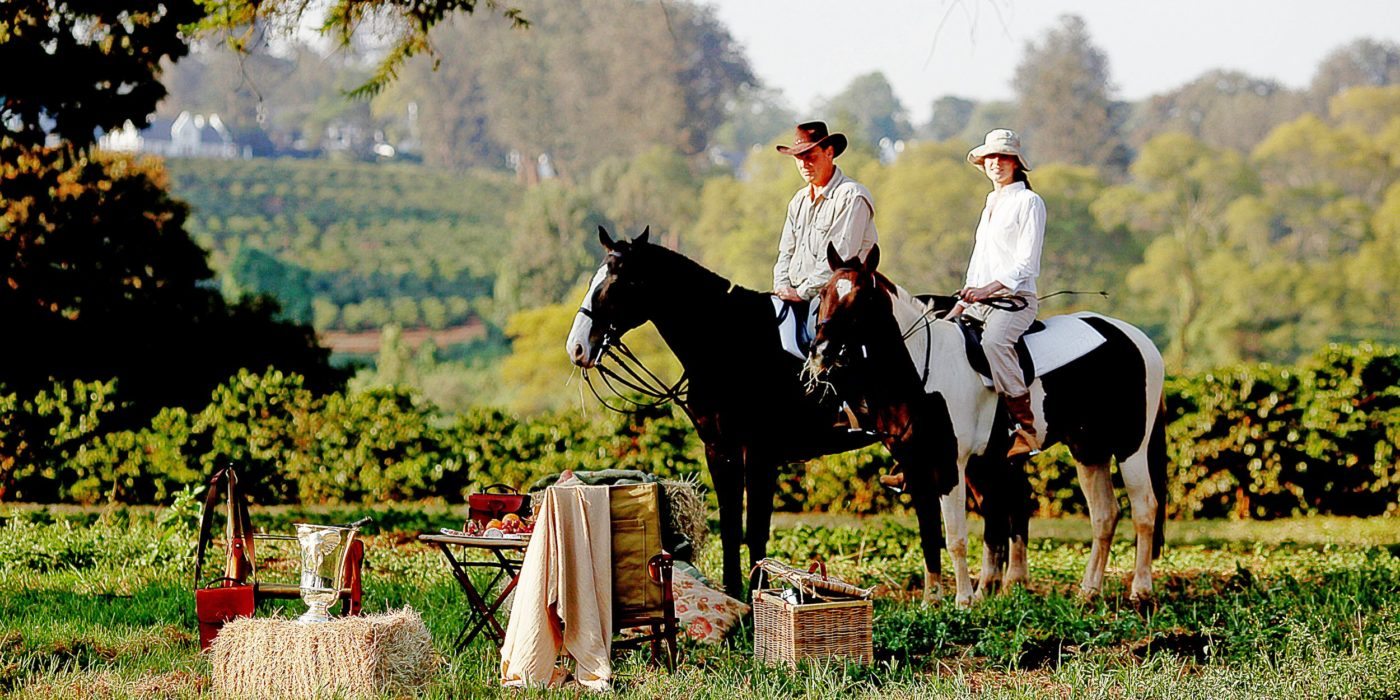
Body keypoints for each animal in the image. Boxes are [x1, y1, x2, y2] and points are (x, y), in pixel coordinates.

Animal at [562, 229, 935, 596]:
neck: (731, 345)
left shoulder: (759, 455)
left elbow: (755, 528)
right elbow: (730, 526)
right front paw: (732, 591)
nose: (576, 348)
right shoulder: (718, 450)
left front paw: (759, 591)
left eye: (615, 284)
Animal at [812, 246, 1170, 602]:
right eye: (823, 294)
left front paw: (964, 600)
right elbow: (930, 536)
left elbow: (956, 536)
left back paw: (1140, 590)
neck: (922, 371)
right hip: (1089, 451)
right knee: (1104, 515)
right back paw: (1089, 591)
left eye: (860, 297)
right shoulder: (917, 466)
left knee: (1144, 510)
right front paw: (932, 600)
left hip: (1131, 448)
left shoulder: (950, 465)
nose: (821, 352)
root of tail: (1136, 339)